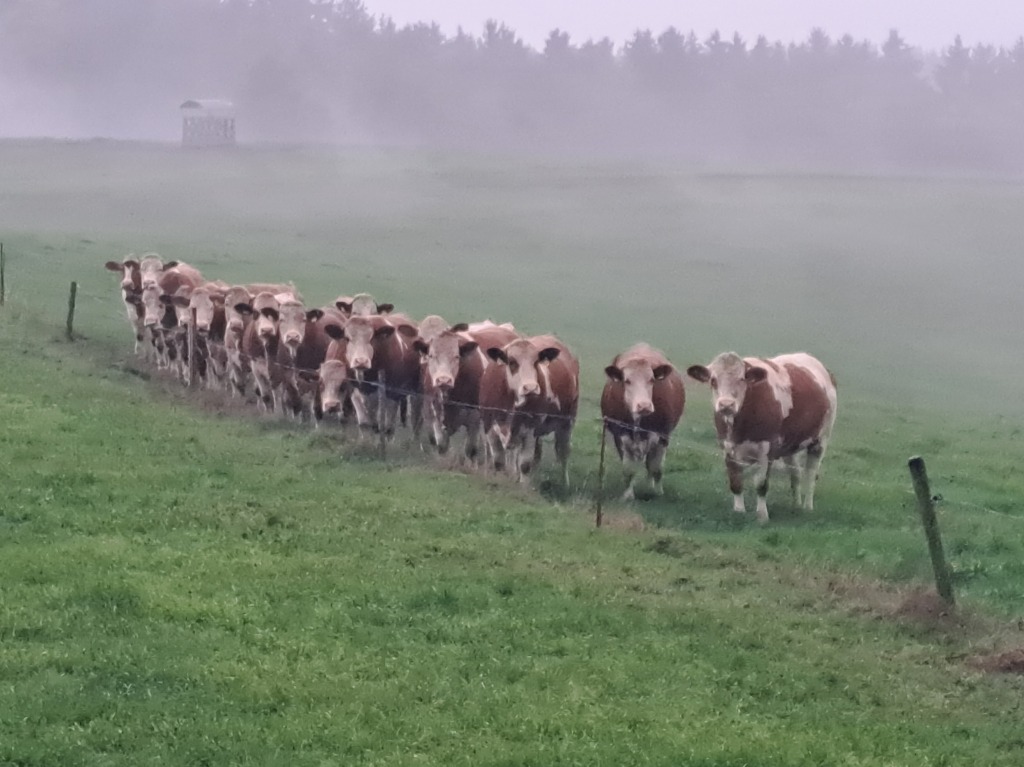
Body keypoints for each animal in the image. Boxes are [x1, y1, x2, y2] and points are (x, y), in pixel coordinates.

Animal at [477, 331, 577, 481]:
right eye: (512, 362)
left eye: (536, 362)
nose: (531, 388)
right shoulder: (489, 426)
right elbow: (499, 462)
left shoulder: (530, 430)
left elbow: (525, 465)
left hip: (567, 422)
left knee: (564, 453)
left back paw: (565, 482)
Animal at [598, 342, 688, 499]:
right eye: (627, 381)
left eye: (651, 380)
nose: (644, 406)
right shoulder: (620, 435)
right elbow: (628, 469)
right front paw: (628, 495)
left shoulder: (663, 435)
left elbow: (656, 467)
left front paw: (656, 492)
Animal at [688, 352, 839, 520]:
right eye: (713, 380)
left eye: (742, 379)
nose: (726, 405)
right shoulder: (727, 447)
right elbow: (735, 482)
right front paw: (739, 511)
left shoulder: (767, 450)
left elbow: (761, 484)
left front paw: (762, 515)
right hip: (790, 444)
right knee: (795, 473)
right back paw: (796, 505)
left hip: (820, 440)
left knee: (811, 474)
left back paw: (807, 507)